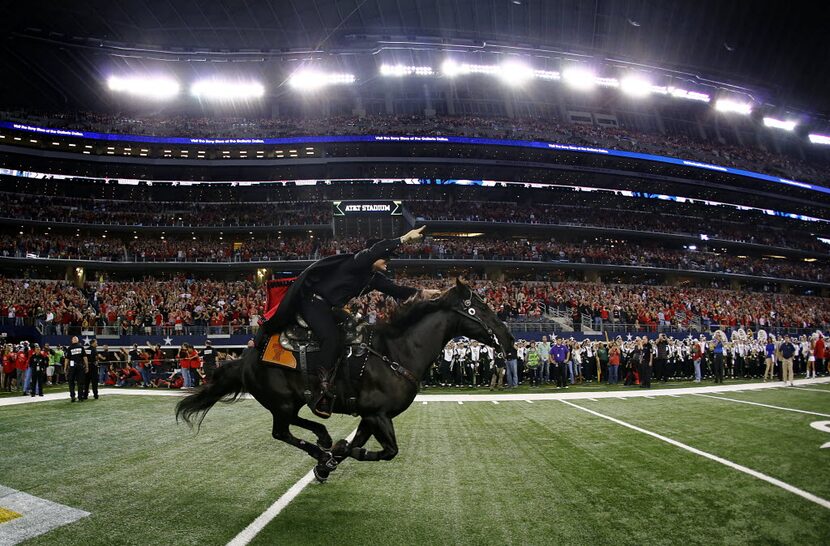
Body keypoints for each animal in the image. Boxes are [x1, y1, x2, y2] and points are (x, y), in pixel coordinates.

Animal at [176, 278, 512, 478]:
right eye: (482, 307)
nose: (508, 340)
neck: (397, 352)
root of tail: (245, 358)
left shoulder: (371, 416)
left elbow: (357, 444)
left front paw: (328, 464)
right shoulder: (377, 414)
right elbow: (387, 451)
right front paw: (334, 454)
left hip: (292, 402)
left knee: (293, 424)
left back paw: (323, 439)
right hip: (281, 401)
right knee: (281, 432)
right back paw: (320, 443)